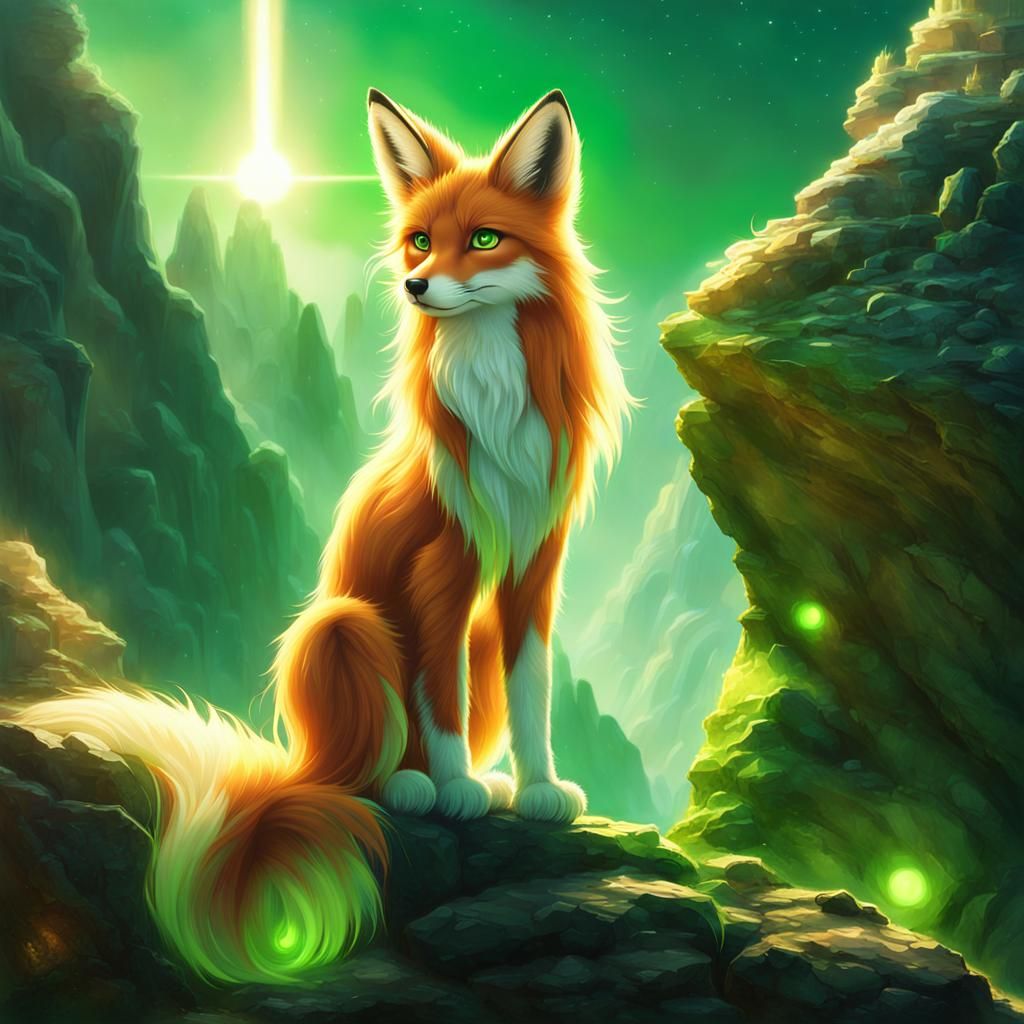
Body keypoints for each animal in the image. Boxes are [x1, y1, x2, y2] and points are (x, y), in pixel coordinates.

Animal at [12, 88, 631, 985]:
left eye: (484, 239)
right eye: (419, 238)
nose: (414, 284)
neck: (494, 400)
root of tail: (298, 758)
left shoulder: (530, 571)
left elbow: (532, 692)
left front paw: (541, 786)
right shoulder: (444, 570)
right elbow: (440, 699)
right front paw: (456, 788)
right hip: (346, 623)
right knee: (356, 776)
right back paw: (412, 787)